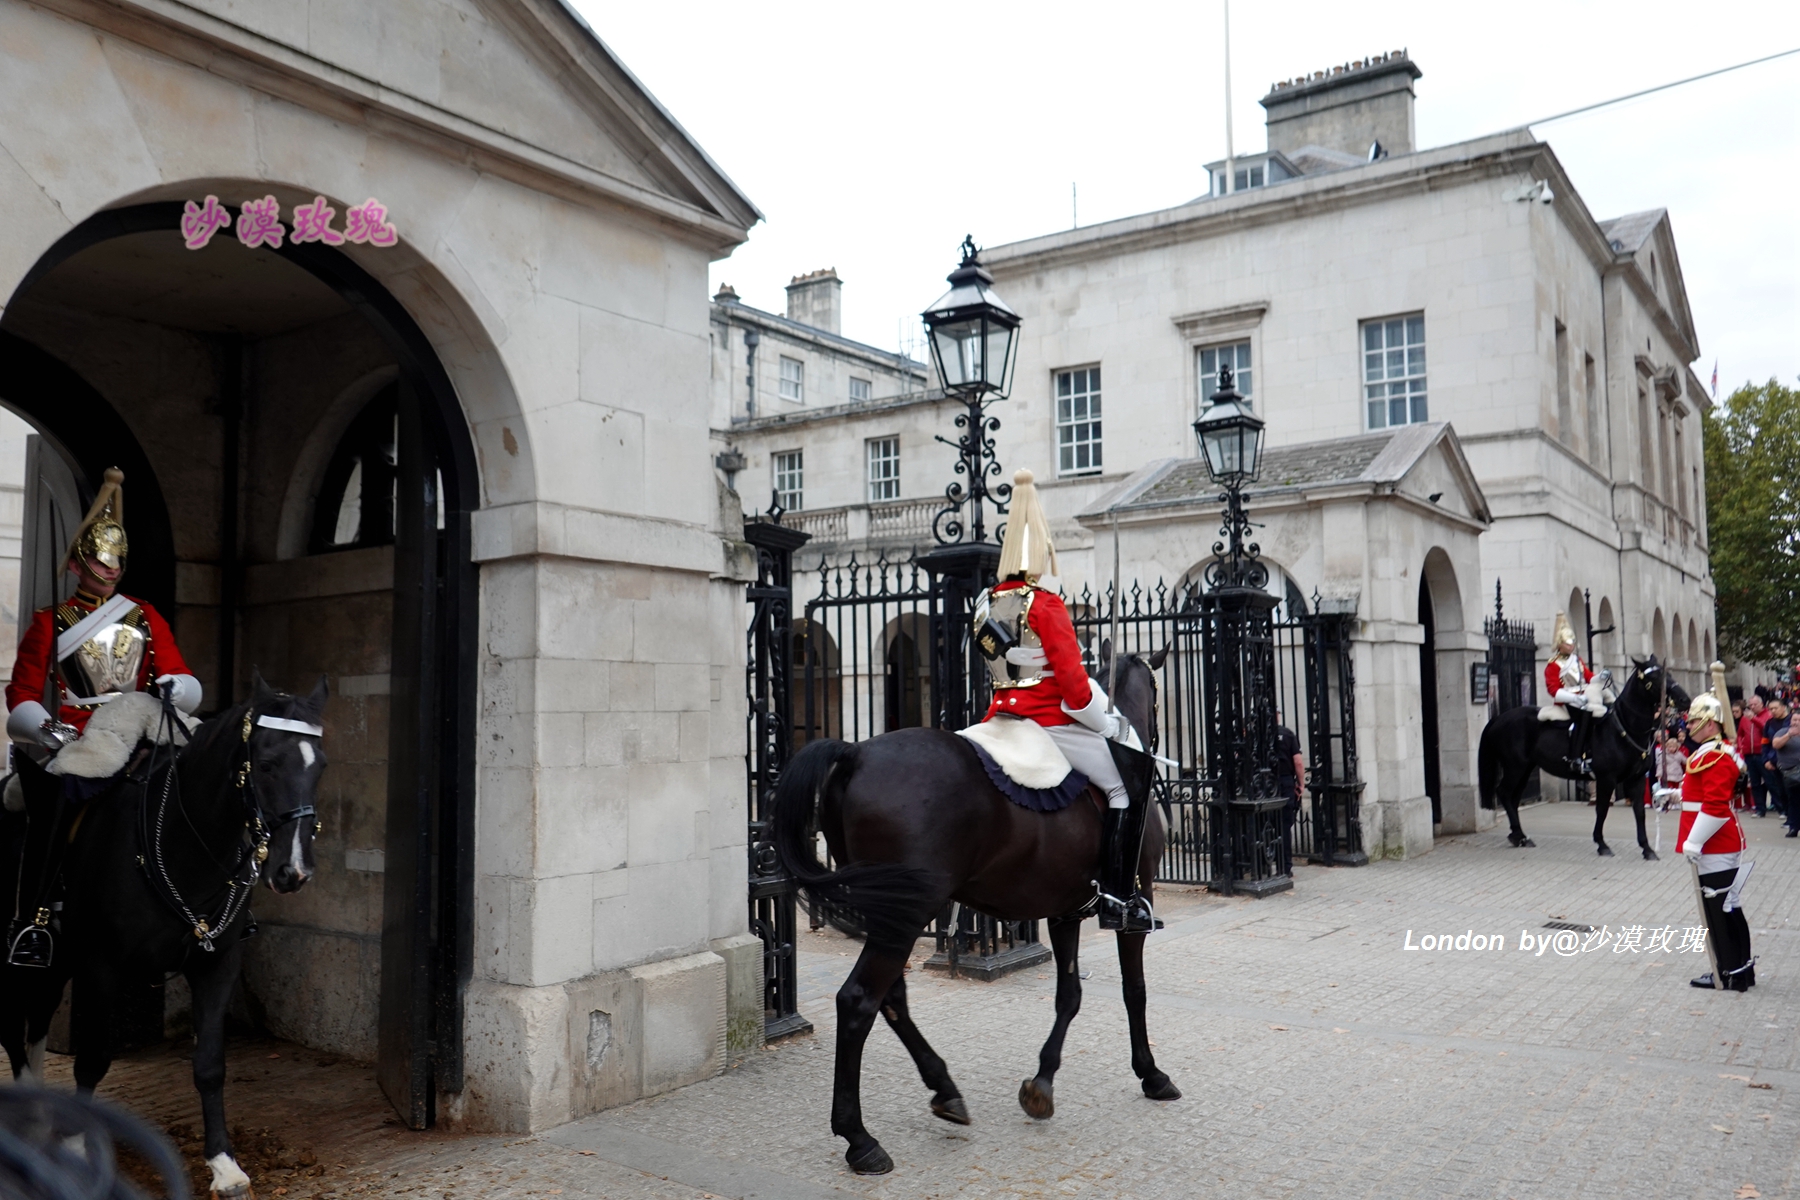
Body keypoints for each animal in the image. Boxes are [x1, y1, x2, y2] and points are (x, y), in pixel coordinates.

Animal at [1, 676, 324, 1200]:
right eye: (267, 762)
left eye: (321, 765)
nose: (292, 871)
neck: (183, 846)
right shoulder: (101, 966)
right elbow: (92, 1058)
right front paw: (79, 1151)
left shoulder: (216, 964)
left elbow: (210, 1064)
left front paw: (224, 1167)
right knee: (14, 1028)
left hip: (57, 961)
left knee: (36, 1023)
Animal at [770, 651, 1166, 1180]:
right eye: (1158, 695)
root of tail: (855, 754)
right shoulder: (1132, 904)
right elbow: (1134, 991)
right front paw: (1152, 1073)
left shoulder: (1064, 912)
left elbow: (1070, 996)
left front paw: (1042, 1085)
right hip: (908, 913)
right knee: (858, 1001)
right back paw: (860, 1139)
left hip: (893, 913)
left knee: (892, 999)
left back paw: (945, 1092)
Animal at [1476, 662, 1684, 859]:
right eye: (1654, 677)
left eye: (1669, 673)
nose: (1684, 699)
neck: (1624, 728)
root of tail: (1499, 717)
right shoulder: (1606, 779)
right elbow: (1602, 809)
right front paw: (1602, 844)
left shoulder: (1637, 779)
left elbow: (1639, 812)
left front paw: (1647, 849)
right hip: (1515, 767)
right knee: (1504, 792)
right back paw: (1518, 836)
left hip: (1525, 769)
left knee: (1513, 797)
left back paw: (1519, 836)